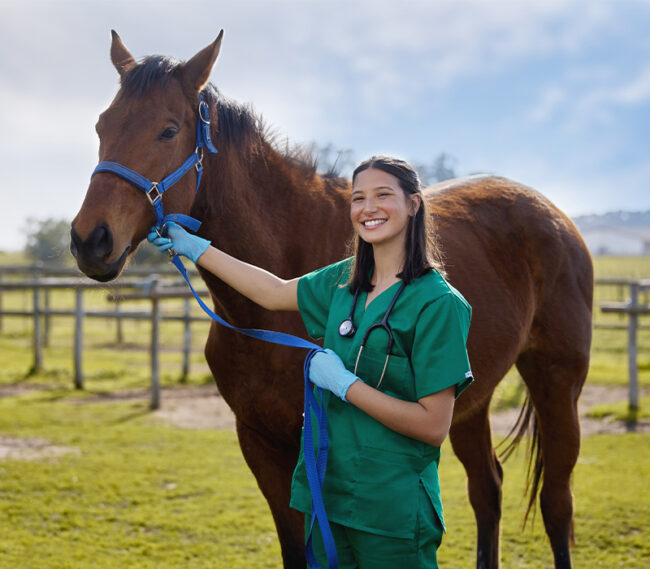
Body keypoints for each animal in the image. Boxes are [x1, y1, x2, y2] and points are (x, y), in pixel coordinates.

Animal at [71, 32, 592, 568]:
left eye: (168, 130)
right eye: (102, 125)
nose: (90, 240)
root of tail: (554, 217)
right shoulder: (260, 444)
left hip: (557, 384)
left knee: (556, 502)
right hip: (470, 402)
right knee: (488, 489)